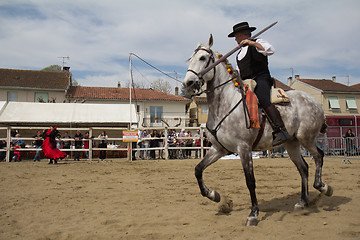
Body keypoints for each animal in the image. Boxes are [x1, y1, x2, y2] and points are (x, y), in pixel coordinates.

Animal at [184, 34, 334, 226]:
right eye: (191, 58)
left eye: (203, 58)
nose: (188, 82)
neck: (225, 105)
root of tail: (315, 102)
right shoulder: (218, 149)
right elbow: (198, 169)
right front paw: (214, 195)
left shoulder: (244, 148)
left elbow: (250, 181)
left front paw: (253, 214)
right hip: (292, 144)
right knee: (304, 167)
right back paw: (302, 201)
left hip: (306, 138)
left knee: (319, 156)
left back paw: (323, 187)